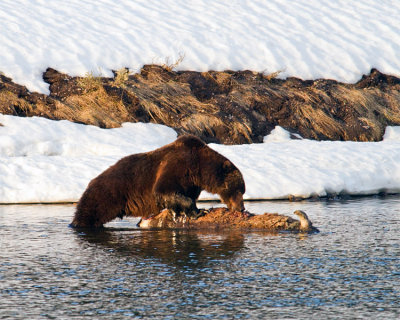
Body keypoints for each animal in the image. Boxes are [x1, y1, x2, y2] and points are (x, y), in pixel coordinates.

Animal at [71, 135, 247, 228]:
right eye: (239, 189)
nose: (242, 208)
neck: (199, 168)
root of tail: (91, 182)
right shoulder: (178, 165)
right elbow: (164, 190)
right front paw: (199, 211)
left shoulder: (192, 183)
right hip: (105, 195)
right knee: (89, 212)